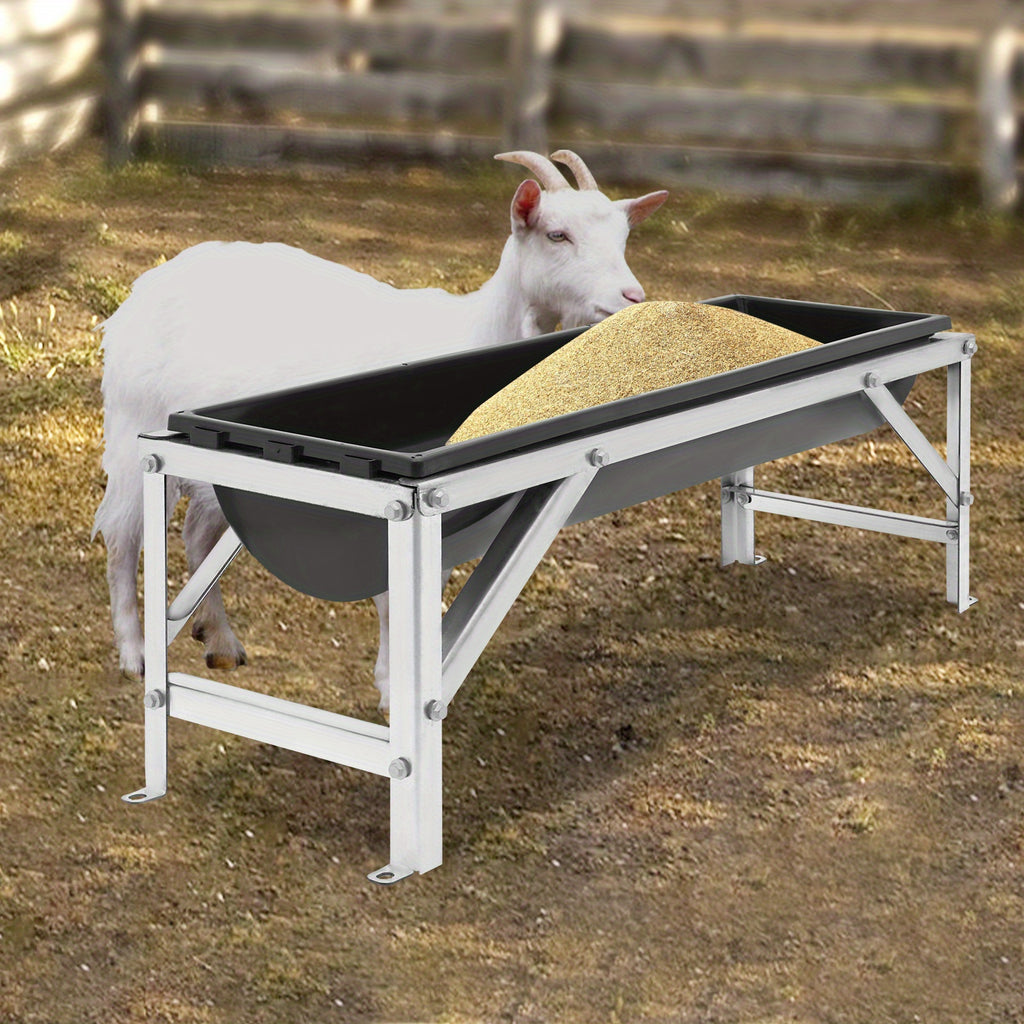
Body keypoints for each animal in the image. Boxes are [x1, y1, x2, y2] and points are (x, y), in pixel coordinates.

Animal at [92, 149, 668, 709]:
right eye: (556, 234)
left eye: (623, 238)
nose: (632, 298)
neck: (477, 327)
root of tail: (144, 287)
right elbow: (395, 597)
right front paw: (394, 687)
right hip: (132, 423)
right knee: (122, 533)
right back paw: (134, 652)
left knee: (196, 530)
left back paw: (219, 641)